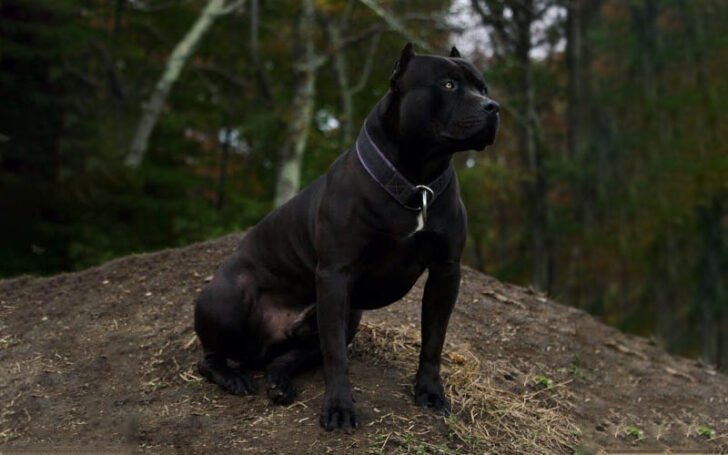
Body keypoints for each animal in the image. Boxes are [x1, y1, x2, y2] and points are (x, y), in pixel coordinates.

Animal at [195, 43, 500, 432]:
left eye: (483, 88)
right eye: (448, 85)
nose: (492, 107)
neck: (416, 178)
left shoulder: (445, 271)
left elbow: (434, 339)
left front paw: (430, 392)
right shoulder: (335, 275)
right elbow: (337, 356)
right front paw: (339, 407)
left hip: (348, 315)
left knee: (287, 358)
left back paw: (279, 382)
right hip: (229, 299)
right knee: (210, 358)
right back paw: (233, 377)